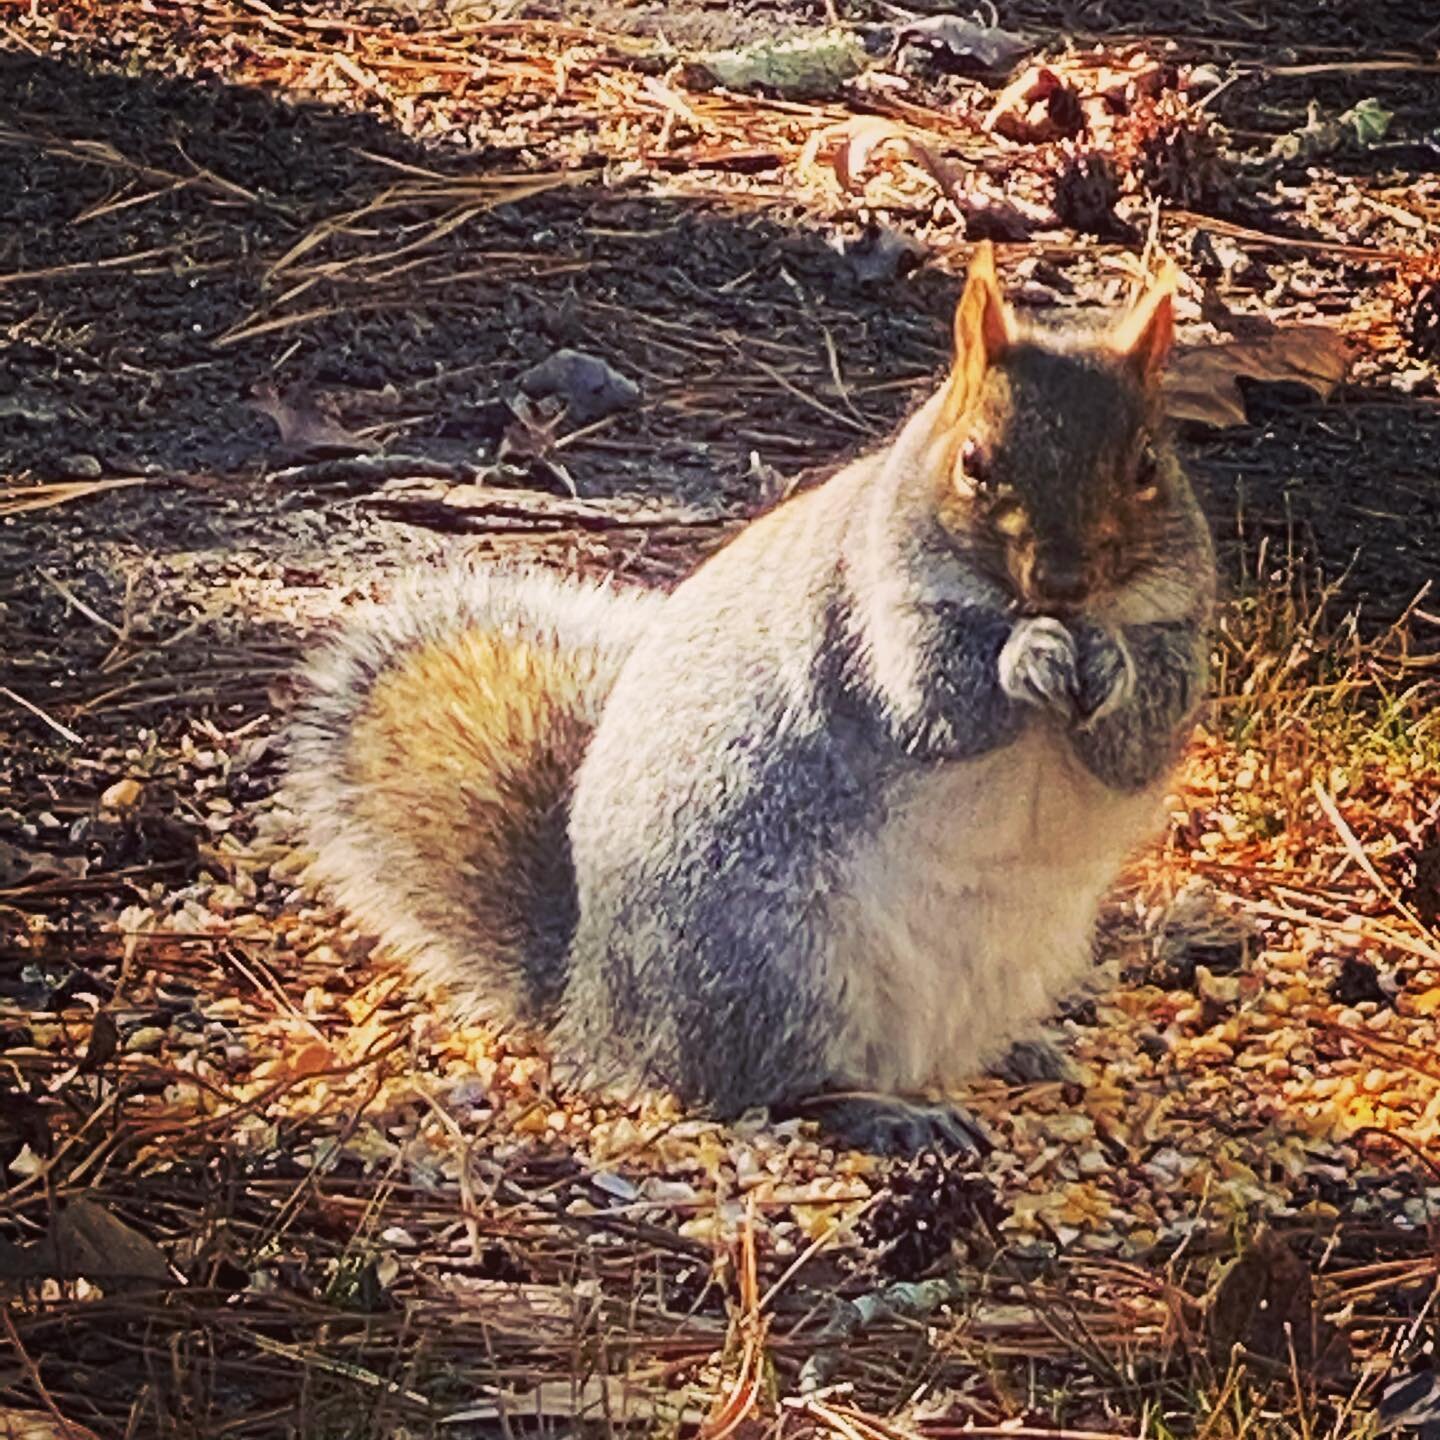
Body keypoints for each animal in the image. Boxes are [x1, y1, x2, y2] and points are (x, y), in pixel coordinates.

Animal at [289, 241, 1215, 1152]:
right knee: (768, 1088)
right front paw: (1028, 654)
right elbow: (937, 703)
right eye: (974, 461)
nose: (1062, 580)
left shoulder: (1179, 634)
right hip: (774, 966)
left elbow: (1139, 740)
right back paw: (887, 1113)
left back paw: (1018, 1052)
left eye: (1149, 465)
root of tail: (594, 1014)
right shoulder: (872, 616)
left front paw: (1107, 662)